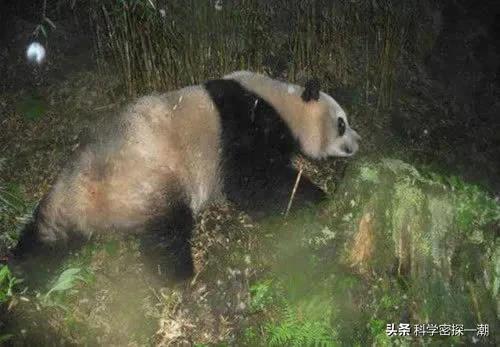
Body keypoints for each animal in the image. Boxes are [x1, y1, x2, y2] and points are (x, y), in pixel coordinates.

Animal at [10, 70, 360, 280]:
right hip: (149, 179)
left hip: (68, 195)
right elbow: (250, 179)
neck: (283, 103)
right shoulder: (244, 122)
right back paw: (177, 272)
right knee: (167, 229)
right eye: (341, 123)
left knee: (46, 234)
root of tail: (97, 205)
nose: (358, 142)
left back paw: (22, 270)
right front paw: (314, 195)